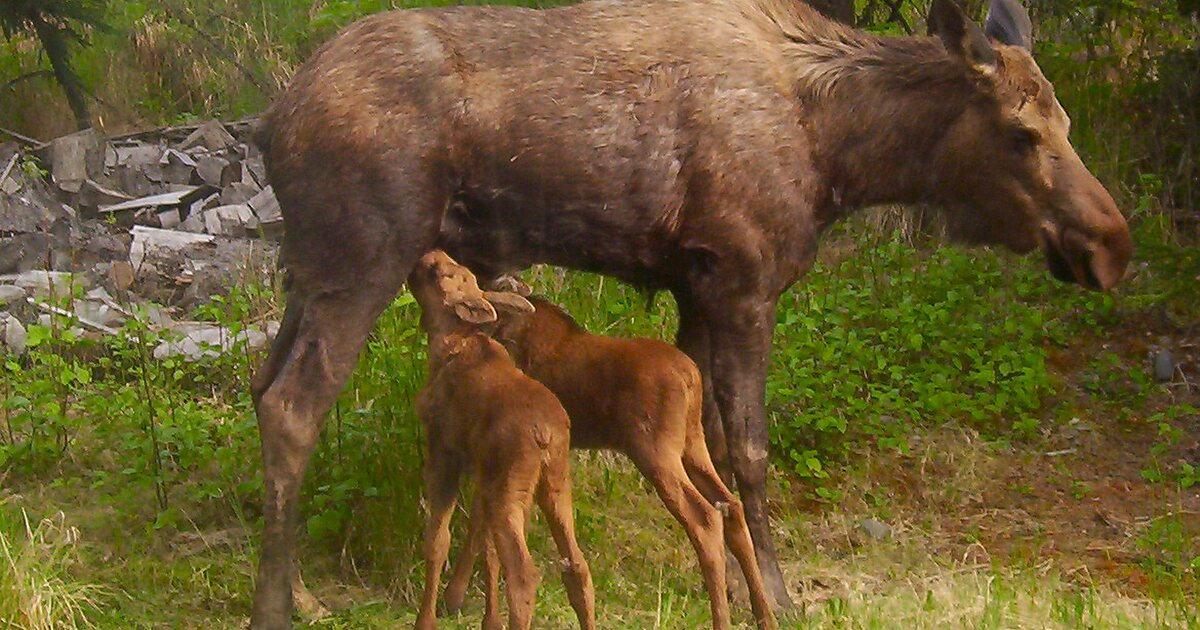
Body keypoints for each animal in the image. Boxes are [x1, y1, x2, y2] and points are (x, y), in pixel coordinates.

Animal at [408, 250, 595, 628]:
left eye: (437, 271)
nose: (426, 255)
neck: (446, 341)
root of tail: (545, 434)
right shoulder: (483, 472)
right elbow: (487, 549)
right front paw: (488, 619)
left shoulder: (444, 451)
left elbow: (437, 541)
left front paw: (426, 620)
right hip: (554, 485)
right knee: (578, 567)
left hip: (511, 486)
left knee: (524, 573)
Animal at [444, 295, 777, 628]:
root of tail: (691, 377)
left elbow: (478, 523)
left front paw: (454, 596)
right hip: (692, 443)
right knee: (731, 505)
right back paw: (765, 615)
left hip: (656, 450)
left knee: (705, 516)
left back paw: (723, 617)